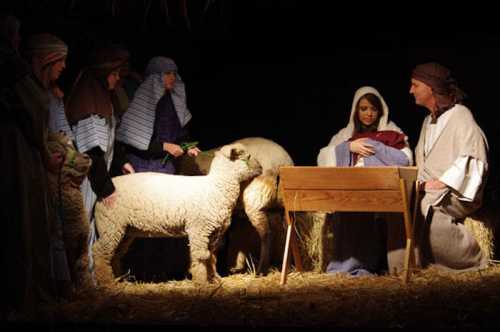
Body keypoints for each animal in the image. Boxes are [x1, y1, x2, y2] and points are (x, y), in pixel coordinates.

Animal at [46, 132, 92, 288]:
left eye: (71, 146)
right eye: (61, 155)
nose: (87, 157)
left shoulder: (83, 241)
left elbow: (82, 265)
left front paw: (87, 288)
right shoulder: (66, 246)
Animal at [93, 141, 262, 284]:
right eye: (247, 157)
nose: (261, 167)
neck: (216, 187)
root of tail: (102, 194)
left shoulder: (213, 232)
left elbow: (211, 257)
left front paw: (214, 279)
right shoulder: (198, 229)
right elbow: (200, 257)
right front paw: (202, 282)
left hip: (124, 229)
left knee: (115, 254)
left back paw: (120, 280)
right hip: (110, 224)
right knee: (100, 252)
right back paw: (107, 282)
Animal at [175, 137, 292, 274]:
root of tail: (281, 163)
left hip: (255, 201)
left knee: (265, 234)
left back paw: (261, 270)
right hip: (281, 205)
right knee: (286, 232)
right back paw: (286, 267)